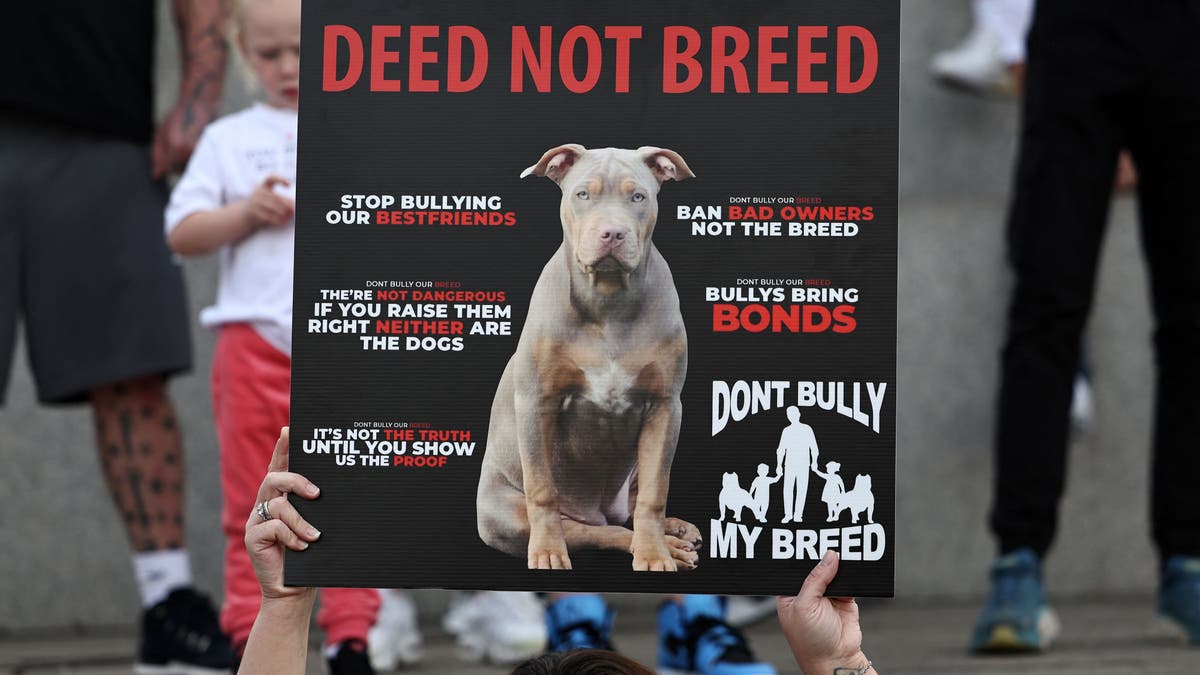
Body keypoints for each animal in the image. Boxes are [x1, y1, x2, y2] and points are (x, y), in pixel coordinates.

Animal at [477, 144, 700, 569]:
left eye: (638, 197)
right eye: (582, 195)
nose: (612, 233)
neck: (608, 302)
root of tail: (600, 510)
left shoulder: (665, 407)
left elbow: (654, 493)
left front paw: (654, 553)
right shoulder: (537, 403)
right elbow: (543, 490)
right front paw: (548, 552)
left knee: (631, 507)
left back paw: (674, 534)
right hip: (508, 514)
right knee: (596, 530)